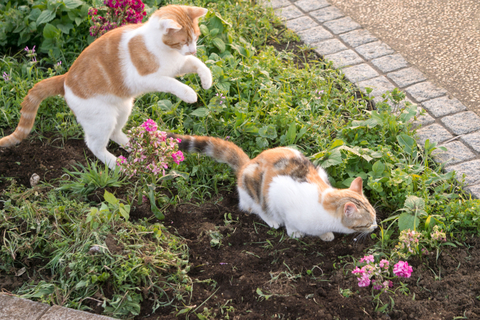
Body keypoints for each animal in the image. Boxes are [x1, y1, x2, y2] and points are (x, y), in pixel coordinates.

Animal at [0, 5, 212, 169]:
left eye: (196, 38)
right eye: (183, 41)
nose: (193, 49)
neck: (161, 47)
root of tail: (65, 79)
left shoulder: (178, 65)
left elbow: (198, 64)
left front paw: (207, 80)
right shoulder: (149, 78)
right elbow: (172, 83)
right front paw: (190, 94)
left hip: (123, 108)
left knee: (116, 133)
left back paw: (136, 148)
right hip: (102, 119)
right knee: (94, 145)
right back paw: (117, 164)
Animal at [170, 132, 378, 240]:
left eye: (375, 217)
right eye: (368, 222)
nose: (376, 227)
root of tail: (248, 163)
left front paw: (325, 234)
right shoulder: (278, 192)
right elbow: (288, 219)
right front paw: (294, 232)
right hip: (253, 187)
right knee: (255, 208)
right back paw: (271, 220)